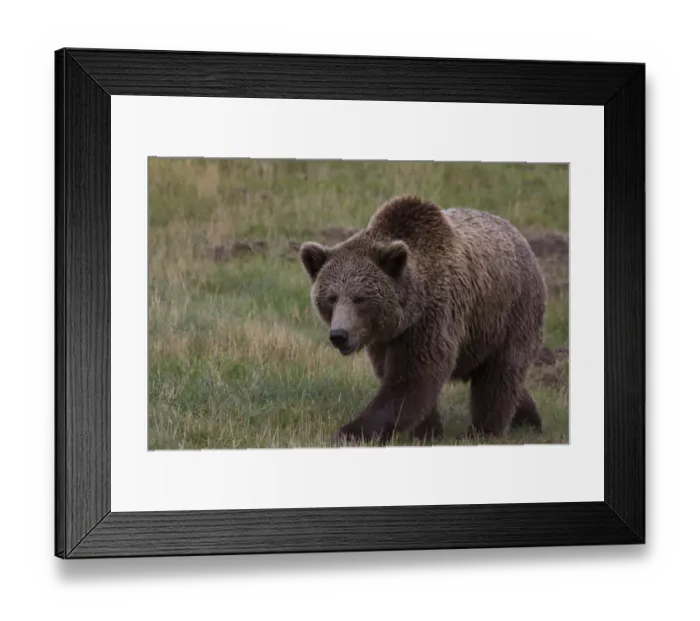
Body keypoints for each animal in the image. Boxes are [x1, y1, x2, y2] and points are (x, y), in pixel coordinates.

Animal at [299, 195, 547, 445]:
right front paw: (427, 432)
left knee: (499, 376)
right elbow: (401, 379)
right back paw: (528, 419)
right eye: (331, 298)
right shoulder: (384, 340)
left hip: (510, 314)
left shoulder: (432, 319)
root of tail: (519, 237)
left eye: (360, 298)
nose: (339, 335)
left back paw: (484, 431)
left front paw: (348, 433)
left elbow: (411, 380)